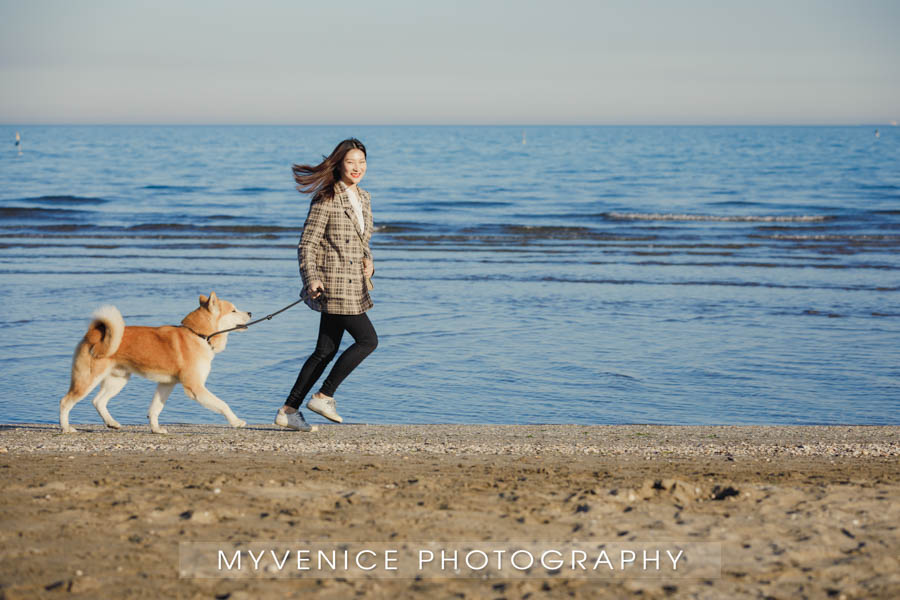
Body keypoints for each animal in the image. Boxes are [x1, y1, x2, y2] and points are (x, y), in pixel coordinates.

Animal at [60, 292, 251, 434]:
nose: (250, 313)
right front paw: (236, 421)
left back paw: (111, 422)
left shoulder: (166, 384)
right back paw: (66, 428)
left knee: (98, 401)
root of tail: (93, 333)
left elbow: (155, 409)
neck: (198, 335)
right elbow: (222, 404)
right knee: (65, 402)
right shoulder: (195, 388)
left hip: (117, 380)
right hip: (87, 380)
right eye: (233, 310)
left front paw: (156, 429)